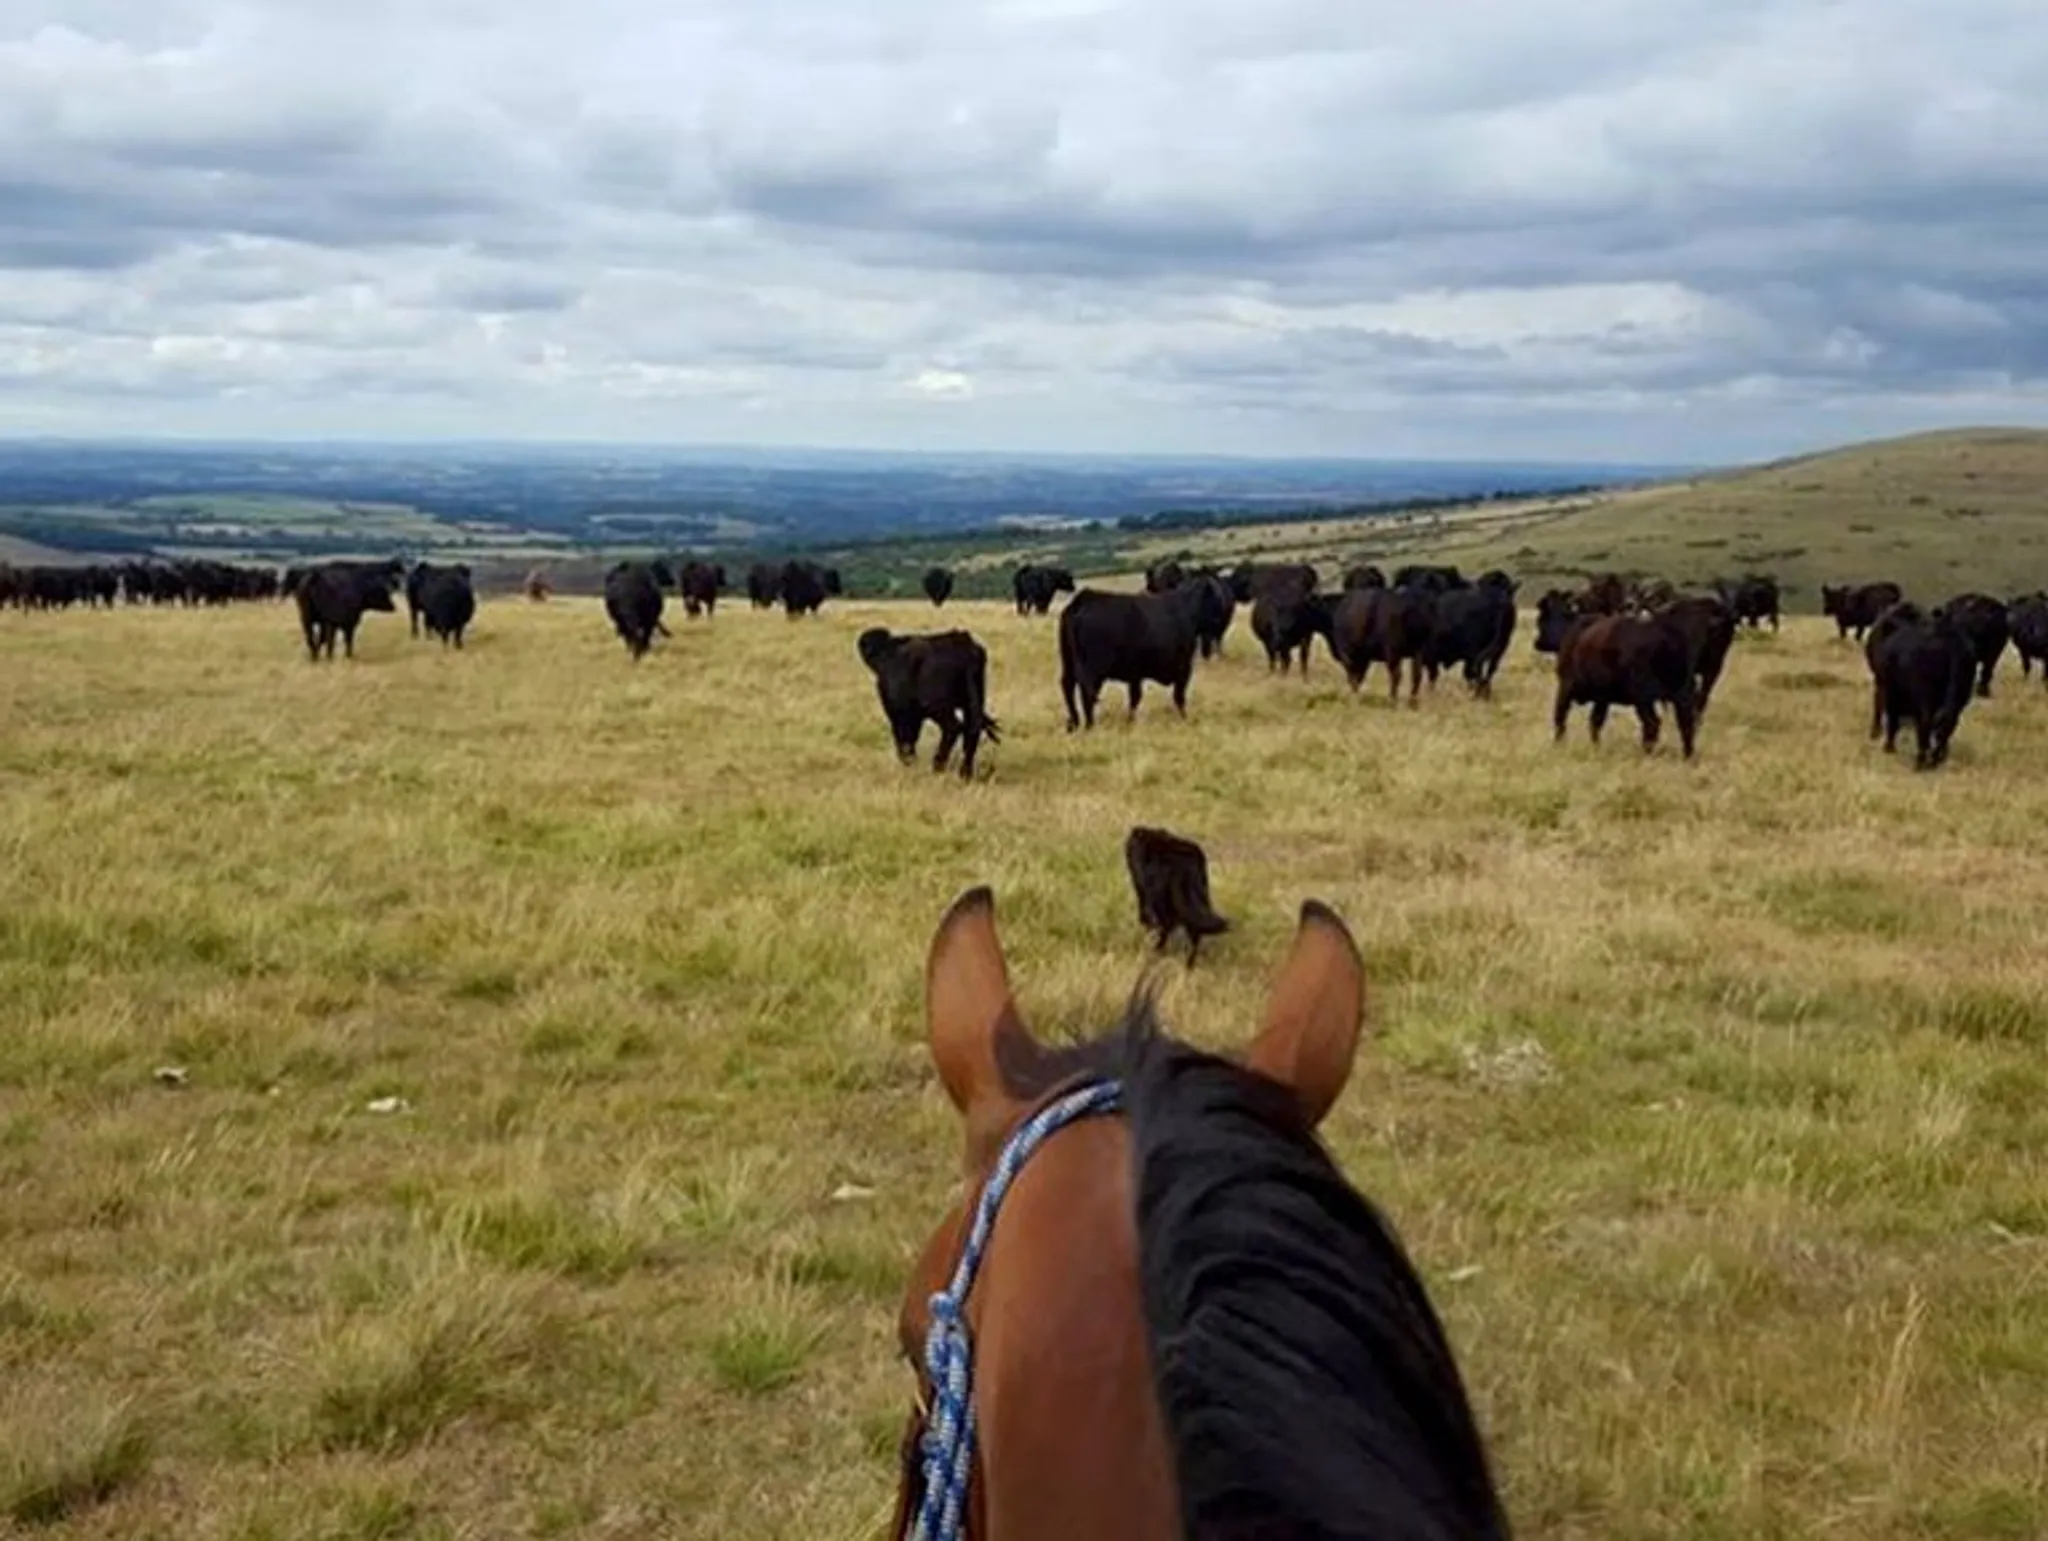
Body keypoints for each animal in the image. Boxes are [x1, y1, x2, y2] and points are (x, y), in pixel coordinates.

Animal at [855, 627, 1000, 782]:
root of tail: (963, 644)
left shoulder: (900, 712)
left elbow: (905, 738)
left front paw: (909, 762)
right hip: (973, 701)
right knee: (972, 729)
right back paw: (965, 773)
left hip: (937, 706)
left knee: (953, 727)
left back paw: (938, 766)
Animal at [1057, 584, 1217, 730]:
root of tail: (1085, 599)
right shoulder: (1183, 668)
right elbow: (1179, 696)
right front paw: (1185, 718)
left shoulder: (1135, 674)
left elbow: (1135, 697)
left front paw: (1130, 721)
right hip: (1093, 668)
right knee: (1086, 691)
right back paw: (1090, 725)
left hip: (1069, 661)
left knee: (1068, 686)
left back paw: (1074, 723)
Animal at [1123, 827, 1230, 964]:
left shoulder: (1145, 890)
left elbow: (1147, 916)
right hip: (1198, 896)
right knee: (1193, 932)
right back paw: (1188, 963)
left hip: (1162, 898)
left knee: (1168, 924)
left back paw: (1157, 949)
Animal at [1552, 611, 1700, 759]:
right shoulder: (1602, 700)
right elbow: (1594, 722)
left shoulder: (1566, 687)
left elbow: (1562, 718)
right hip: (1680, 696)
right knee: (1686, 723)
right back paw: (1688, 755)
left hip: (1644, 701)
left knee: (1653, 723)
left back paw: (1646, 752)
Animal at [1867, 605, 1976, 769]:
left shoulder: (1889, 689)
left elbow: (1891, 717)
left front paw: (1888, 746)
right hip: (1960, 698)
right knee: (1947, 725)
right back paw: (1936, 759)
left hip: (1925, 698)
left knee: (1926, 723)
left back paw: (1920, 762)